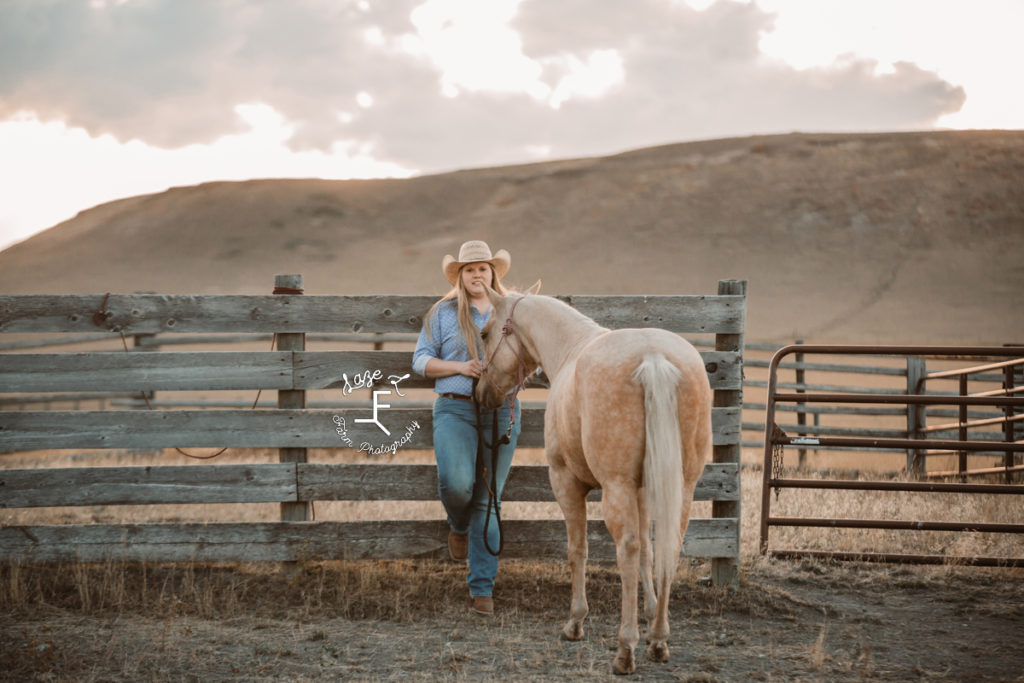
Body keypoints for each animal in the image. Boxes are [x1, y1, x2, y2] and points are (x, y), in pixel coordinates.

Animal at [473, 284, 708, 679]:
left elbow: (577, 550)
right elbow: (650, 552)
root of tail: (654, 358)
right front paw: (649, 615)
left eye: (485, 333)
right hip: (684, 486)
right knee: (668, 548)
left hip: (615, 487)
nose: (480, 393)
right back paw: (658, 640)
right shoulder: (641, 489)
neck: (570, 348)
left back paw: (625, 648)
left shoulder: (566, 482)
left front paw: (575, 622)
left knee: (626, 548)